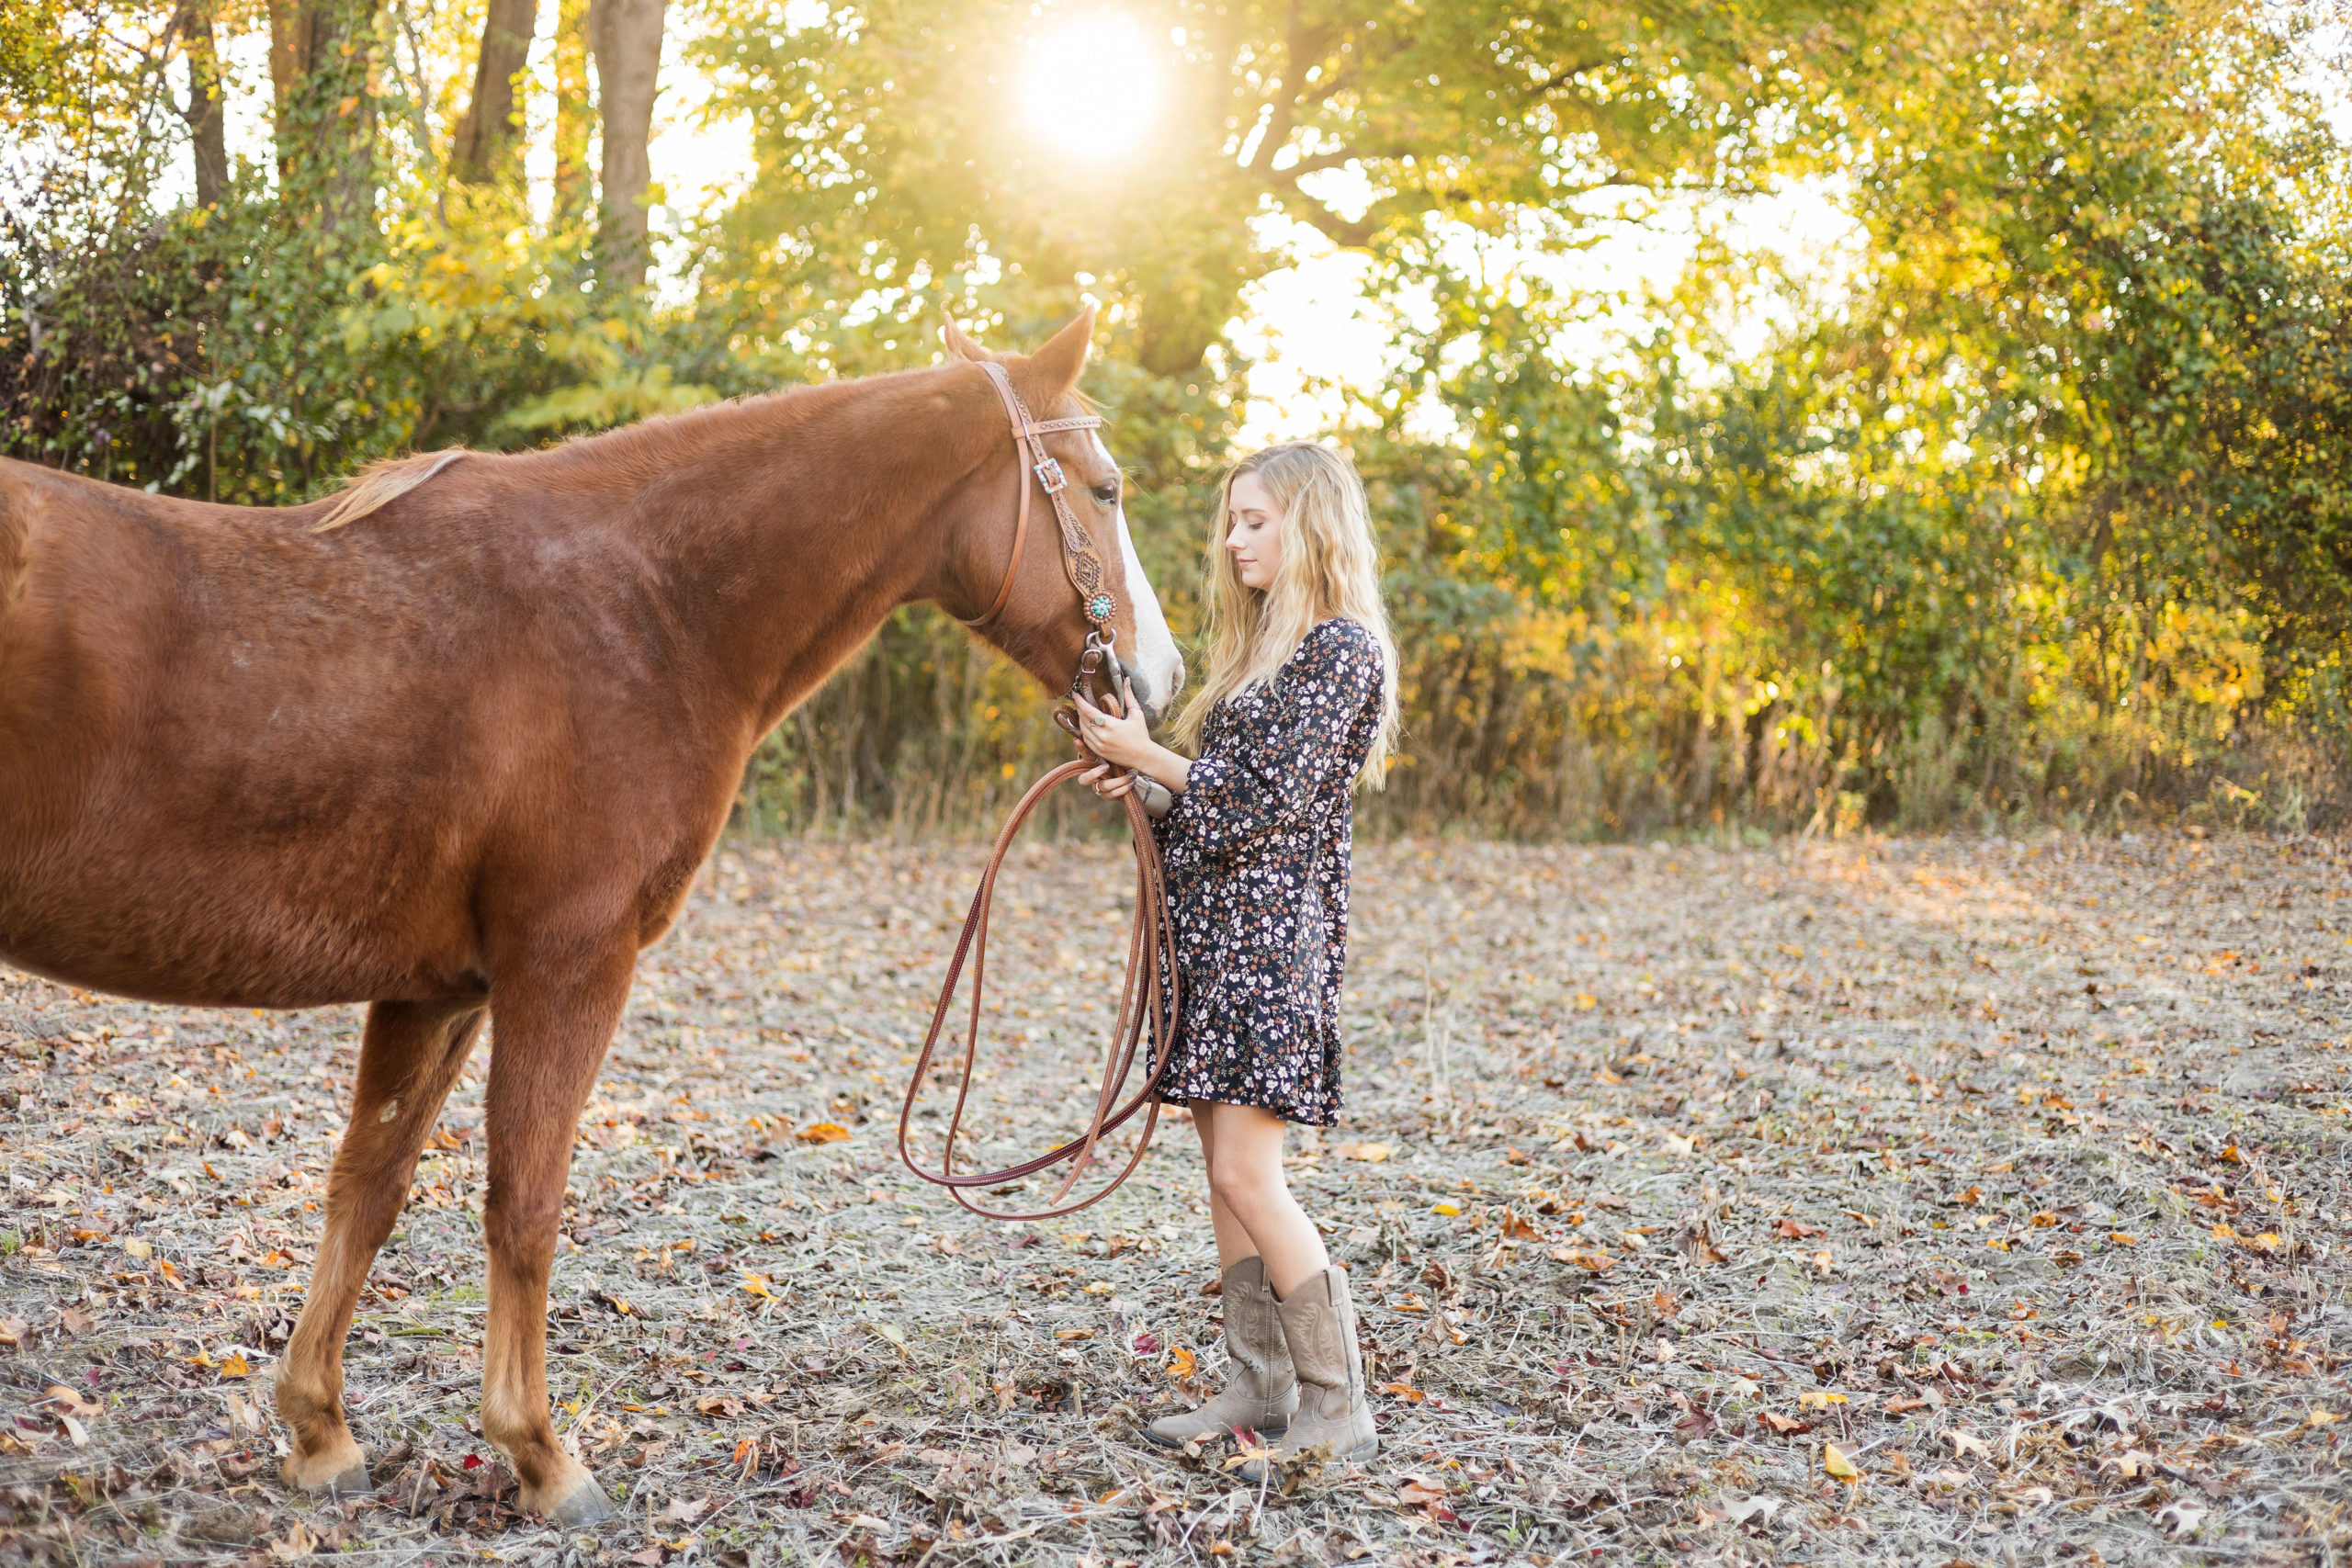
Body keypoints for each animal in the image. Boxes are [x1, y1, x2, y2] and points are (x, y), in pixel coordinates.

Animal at [0, 310, 1176, 1523]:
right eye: (1103, 488)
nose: (1156, 681)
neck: (644, 608)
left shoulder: (437, 990)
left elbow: (367, 1187)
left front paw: (320, 1434)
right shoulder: (568, 965)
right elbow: (525, 1202)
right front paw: (544, 1458)